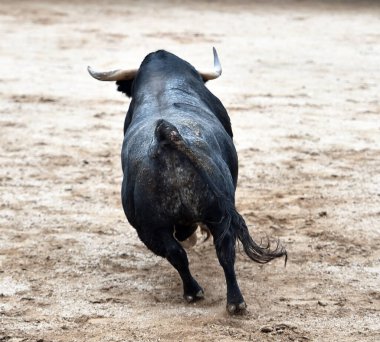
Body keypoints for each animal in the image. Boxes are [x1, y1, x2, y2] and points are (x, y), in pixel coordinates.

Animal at [88, 49, 284, 314]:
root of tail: (166, 136)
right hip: (209, 217)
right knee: (221, 250)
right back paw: (224, 298)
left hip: (150, 228)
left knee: (180, 253)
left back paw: (206, 294)